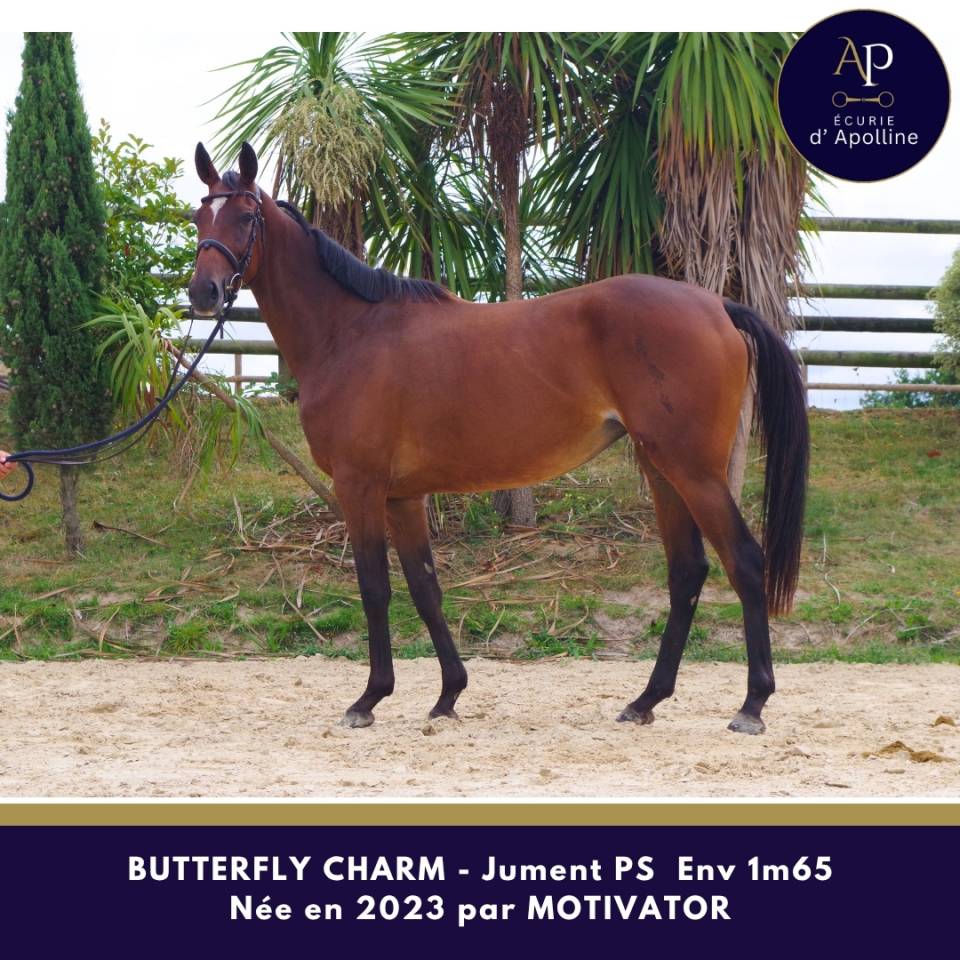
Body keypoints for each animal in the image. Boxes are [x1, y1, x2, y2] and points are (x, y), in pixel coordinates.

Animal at [188, 141, 809, 735]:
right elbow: (425, 588)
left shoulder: (359, 487)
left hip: (694, 470)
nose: (203, 291)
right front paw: (447, 696)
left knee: (743, 562)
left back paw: (752, 704)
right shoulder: (403, 496)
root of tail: (717, 305)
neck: (351, 332)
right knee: (687, 571)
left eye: (246, 216)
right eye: (200, 216)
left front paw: (368, 699)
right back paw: (645, 701)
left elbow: (374, 587)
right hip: (661, 468)